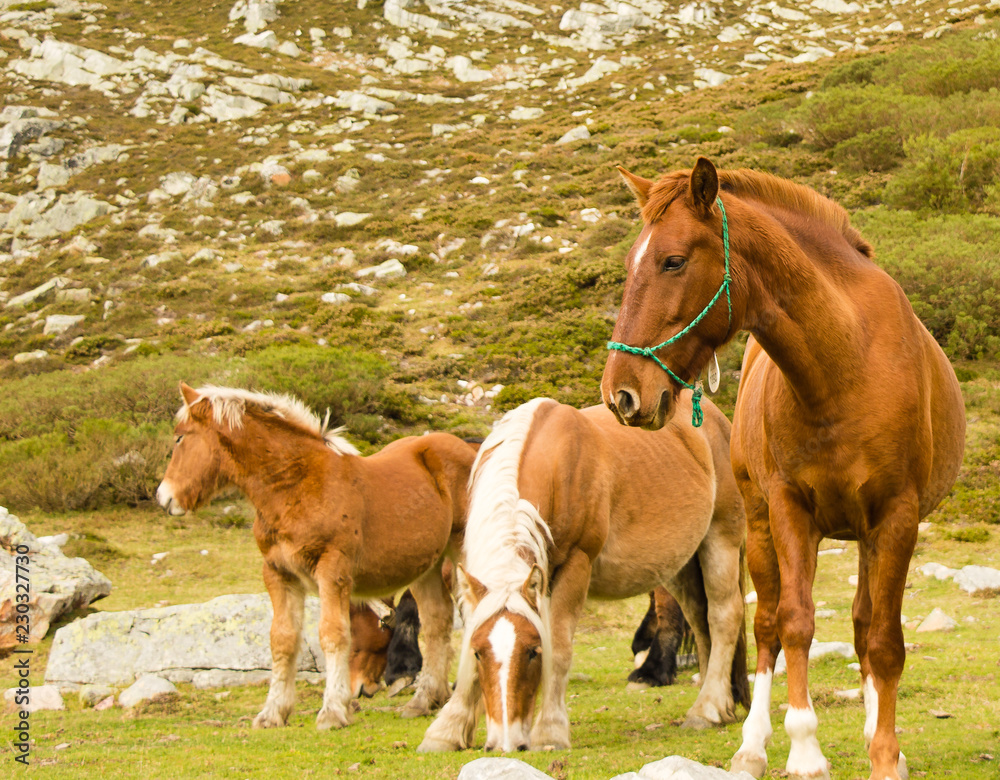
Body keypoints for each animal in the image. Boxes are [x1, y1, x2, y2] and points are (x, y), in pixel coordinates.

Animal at [156, 383, 478, 730]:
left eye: (179, 437)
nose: (164, 497)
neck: (297, 487)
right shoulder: (277, 573)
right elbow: (282, 639)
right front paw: (272, 713)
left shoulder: (332, 571)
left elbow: (332, 634)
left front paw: (333, 711)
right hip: (426, 566)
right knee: (436, 621)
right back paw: (424, 700)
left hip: (461, 551)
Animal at [419, 394, 749, 753]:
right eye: (480, 653)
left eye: (533, 652)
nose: (506, 743)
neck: (552, 464)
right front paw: (447, 729)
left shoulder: (575, 567)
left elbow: (560, 648)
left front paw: (550, 730)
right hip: (682, 564)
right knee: (700, 621)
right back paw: (717, 702)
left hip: (720, 540)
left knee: (723, 616)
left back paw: (708, 708)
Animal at [601, 158, 966, 780]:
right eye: (630, 265)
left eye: (673, 260)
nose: (621, 394)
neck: (846, 364)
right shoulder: (792, 510)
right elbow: (795, 622)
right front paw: (804, 749)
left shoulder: (896, 517)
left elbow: (884, 641)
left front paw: (886, 752)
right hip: (760, 523)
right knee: (768, 625)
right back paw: (752, 745)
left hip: (866, 535)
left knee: (863, 627)